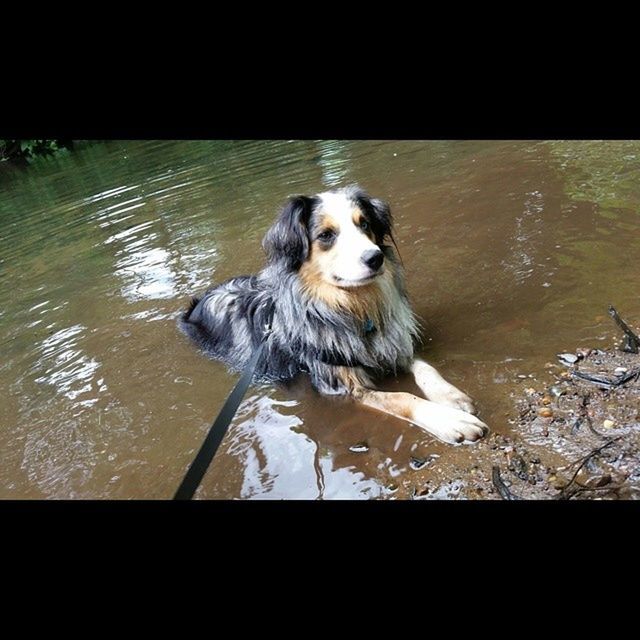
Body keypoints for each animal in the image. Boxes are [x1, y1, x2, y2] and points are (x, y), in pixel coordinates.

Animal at [178, 185, 488, 442]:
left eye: (365, 224)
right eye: (326, 235)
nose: (375, 258)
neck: (354, 307)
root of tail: (199, 301)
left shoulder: (393, 343)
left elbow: (425, 368)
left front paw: (451, 397)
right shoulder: (341, 386)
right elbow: (402, 397)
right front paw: (451, 420)